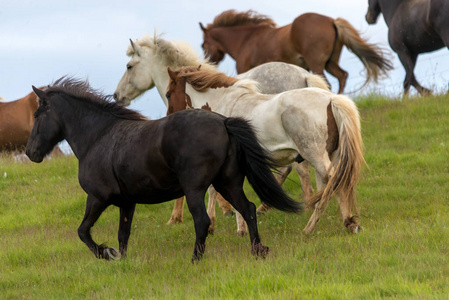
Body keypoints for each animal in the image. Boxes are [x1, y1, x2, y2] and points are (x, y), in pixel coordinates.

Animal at [25, 78, 300, 262]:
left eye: (37, 114)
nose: (30, 153)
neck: (99, 137)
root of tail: (224, 122)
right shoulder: (127, 202)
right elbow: (123, 234)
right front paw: (121, 261)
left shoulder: (97, 198)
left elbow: (83, 231)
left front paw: (106, 253)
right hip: (228, 183)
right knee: (248, 210)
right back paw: (258, 251)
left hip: (195, 189)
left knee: (203, 221)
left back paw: (195, 260)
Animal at [112, 34, 328, 233]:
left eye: (129, 66)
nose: (116, 95)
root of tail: (304, 75)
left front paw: (183, 218)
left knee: (300, 170)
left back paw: (303, 206)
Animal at [164, 65, 364, 234]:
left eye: (167, 94)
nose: (169, 120)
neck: (225, 102)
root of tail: (331, 98)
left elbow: (215, 190)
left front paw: (224, 227)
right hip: (330, 155)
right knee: (330, 184)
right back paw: (330, 224)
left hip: (314, 154)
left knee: (334, 180)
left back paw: (332, 224)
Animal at [200, 9, 392, 93]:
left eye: (203, 44)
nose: (207, 62)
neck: (247, 39)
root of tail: (331, 21)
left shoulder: (245, 71)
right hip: (330, 63)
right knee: (342, 76)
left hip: (317, 64)